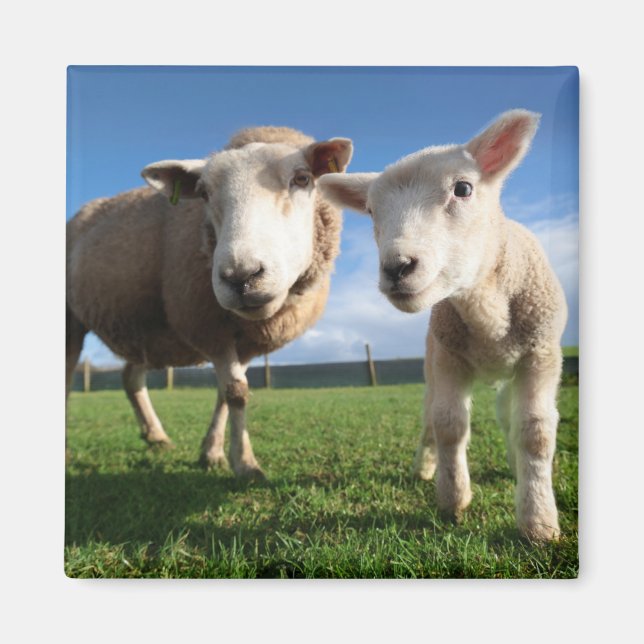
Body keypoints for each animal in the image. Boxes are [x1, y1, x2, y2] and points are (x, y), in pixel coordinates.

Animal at [66, 126, 353, 480]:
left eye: (302, 178)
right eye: (203, 193)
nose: (241, 277)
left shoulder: (243, 340)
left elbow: (226, 393)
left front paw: (212, 452)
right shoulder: (208, 327)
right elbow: (236, 393)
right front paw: (245, 464)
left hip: (146, 327)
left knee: (130, 377)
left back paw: (156, 435)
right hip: (73, 320)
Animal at [318, 110, 567, 541]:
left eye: (463, 188)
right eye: (371, 211)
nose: (397, 267)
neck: (486, 312)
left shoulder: (541, 355)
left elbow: (535, 432)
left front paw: (538, 521)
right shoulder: (449, 357)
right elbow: (448, 424)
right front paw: (453, 499)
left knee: (508, 415)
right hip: (431, 362)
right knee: (429, 418)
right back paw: (424, 467)